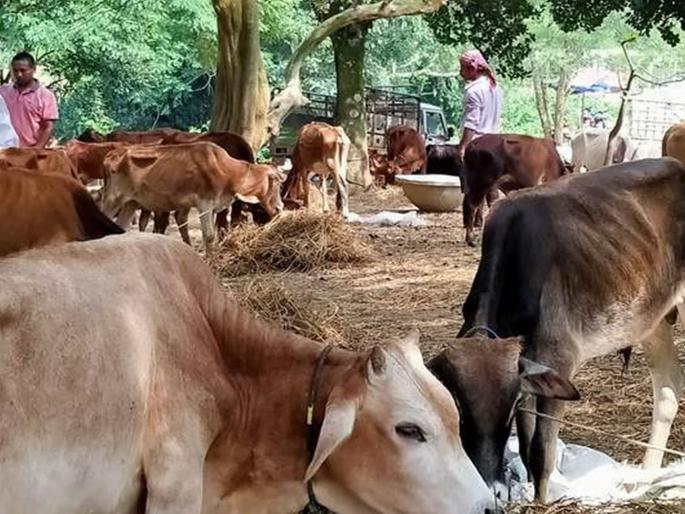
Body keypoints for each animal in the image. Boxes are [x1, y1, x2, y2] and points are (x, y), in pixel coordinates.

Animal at [101, 142, 285, 252]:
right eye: (275, 183)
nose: (280, 207)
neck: (225, 169)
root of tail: (112, 154)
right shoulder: (205, 202)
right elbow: (209, 236)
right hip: (113, 199)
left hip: (131, 202)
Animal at [433, 158, 685, 503]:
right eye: (458, 404)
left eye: (509, 406)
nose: (492, 488)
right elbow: (526, 447)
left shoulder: (560, 359)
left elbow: (541, 451)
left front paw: (542, 500)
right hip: (652, 321)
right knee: (669, 390)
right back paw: (643, 480)